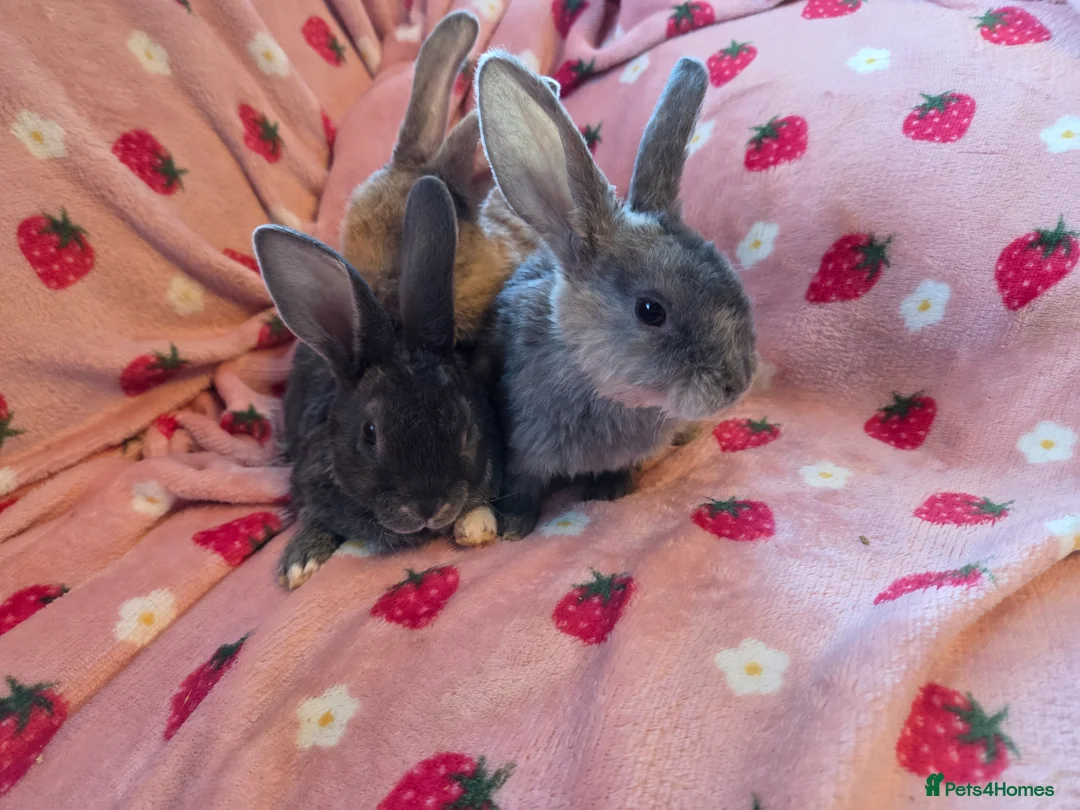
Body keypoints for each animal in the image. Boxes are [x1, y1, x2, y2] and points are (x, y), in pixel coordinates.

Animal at [254, 175, 502, 590]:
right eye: (369, 434)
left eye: (467, 431)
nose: (428, 507)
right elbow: (314, 517)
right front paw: (298, 563)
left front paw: (476, 526)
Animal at [474, 53, 757, 539]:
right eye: (650, 310)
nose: (736, 384)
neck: (598, 385)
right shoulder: (523, 454)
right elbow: (522, 490)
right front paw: (513, 529)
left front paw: (611, 493)